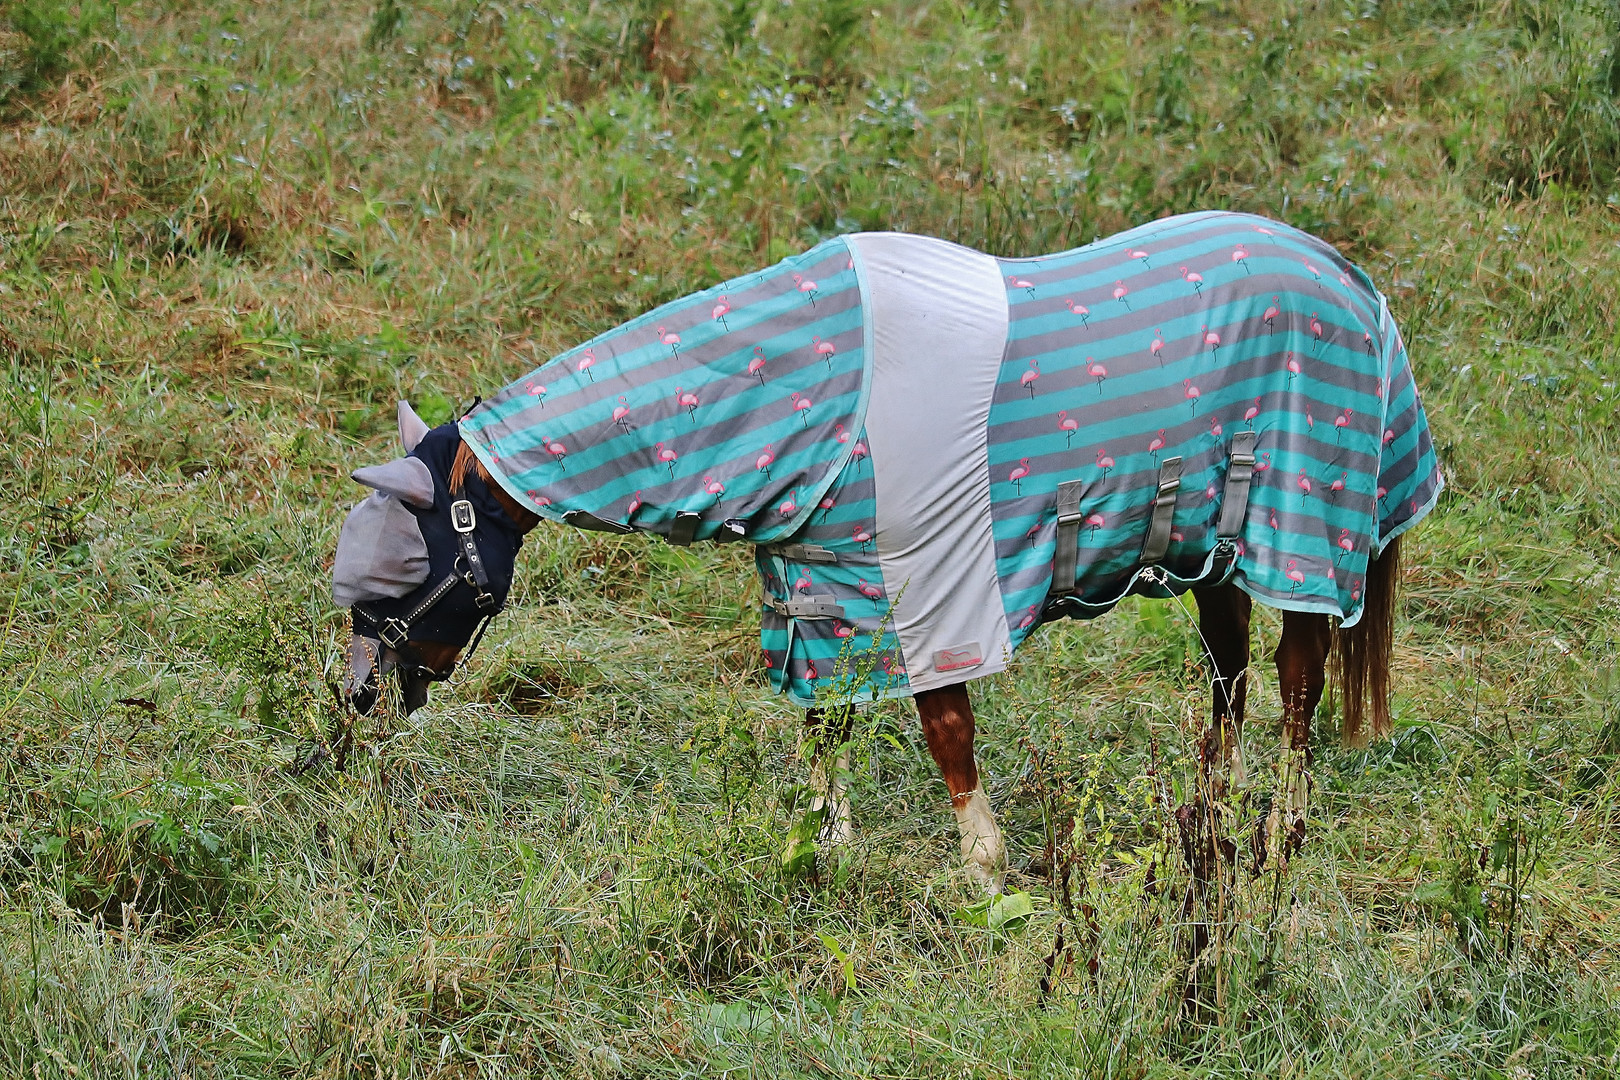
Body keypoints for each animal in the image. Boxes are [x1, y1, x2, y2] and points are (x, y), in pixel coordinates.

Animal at [328, 210, 1445, 893]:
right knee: (1229, 667)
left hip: (1305, 532)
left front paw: (983, 868)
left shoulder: (930, 583)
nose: (356, 709)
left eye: (416, 577)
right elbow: (824, 725)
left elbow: (946, 725)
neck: (815, 392)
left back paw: (1280, 824)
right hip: (1216, 544)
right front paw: (819, 842)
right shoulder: (821, 593)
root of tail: (1350, 280)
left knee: (1299, 676)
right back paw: (1211, 804)